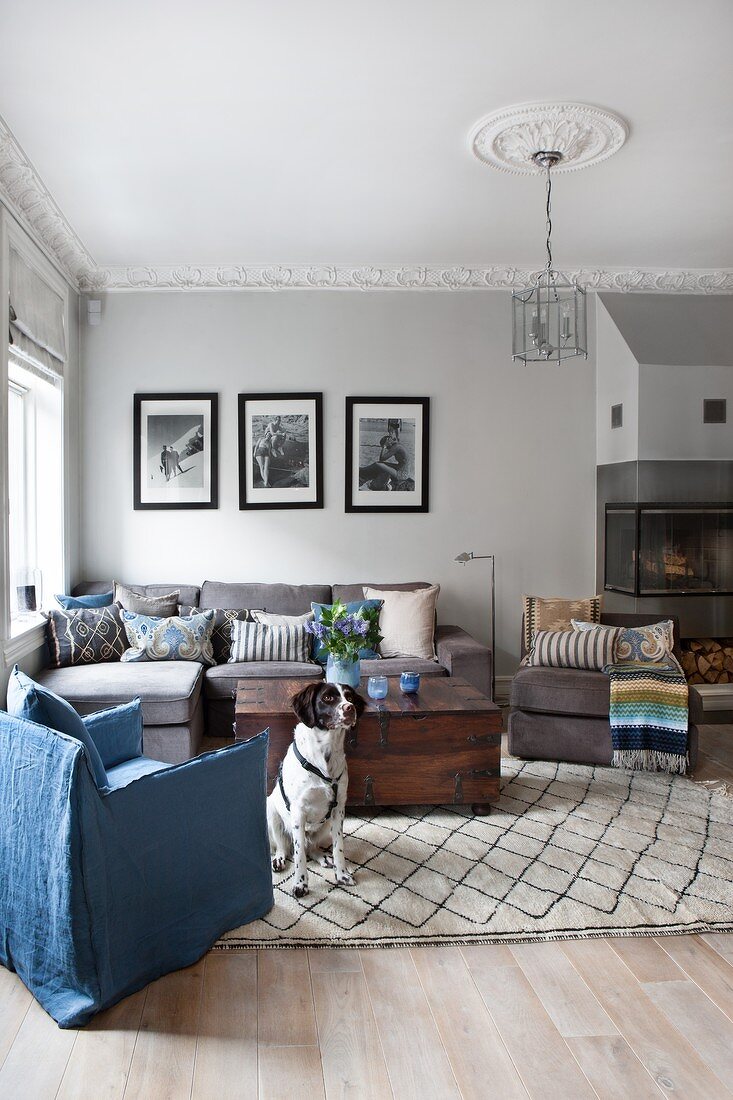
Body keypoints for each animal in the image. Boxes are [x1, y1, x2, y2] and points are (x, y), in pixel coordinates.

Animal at [267, 682, 363, 897]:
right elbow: (299, 854)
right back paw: (278, 860)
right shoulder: (298, 811)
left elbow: (338, 846)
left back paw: (323, 857)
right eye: (327, 698)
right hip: (271, 812)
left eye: (350, 697)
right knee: (283, 846)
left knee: (311, 847)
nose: (350, 708)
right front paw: (300, 884)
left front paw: (342, 874)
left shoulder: (338, 808)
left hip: (325, 823)